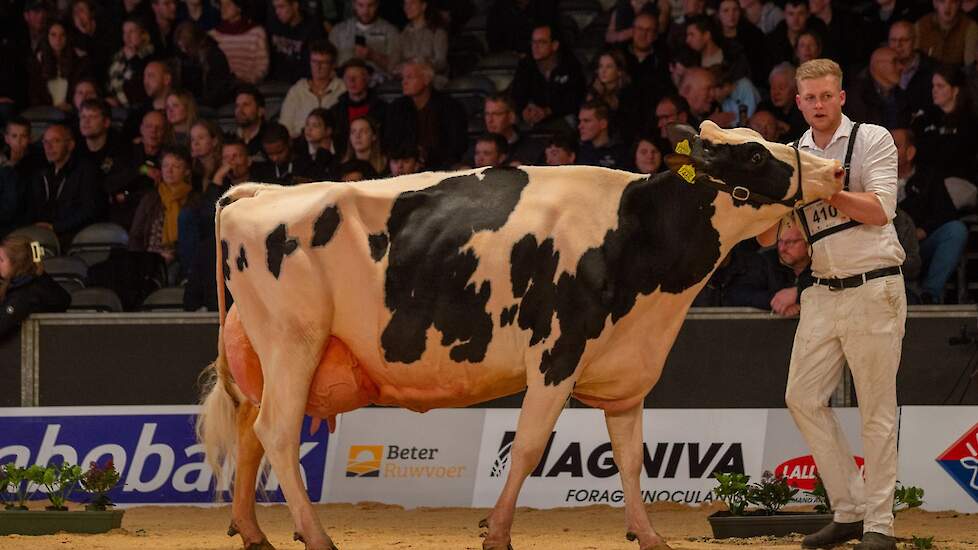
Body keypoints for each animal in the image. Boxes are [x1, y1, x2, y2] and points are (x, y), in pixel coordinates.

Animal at [200, 123, 848, 550]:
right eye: (754, 154)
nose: (835, 170)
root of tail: (263, 191)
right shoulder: (556, 355)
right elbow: (531, 446)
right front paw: (498, 532)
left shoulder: (626, 371)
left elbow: (632, 459)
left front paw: (649, 536)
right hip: (294, 342)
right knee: (277, 434)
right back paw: (315, 536)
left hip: (266, 354)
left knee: (250, 434)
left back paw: (254, 534)